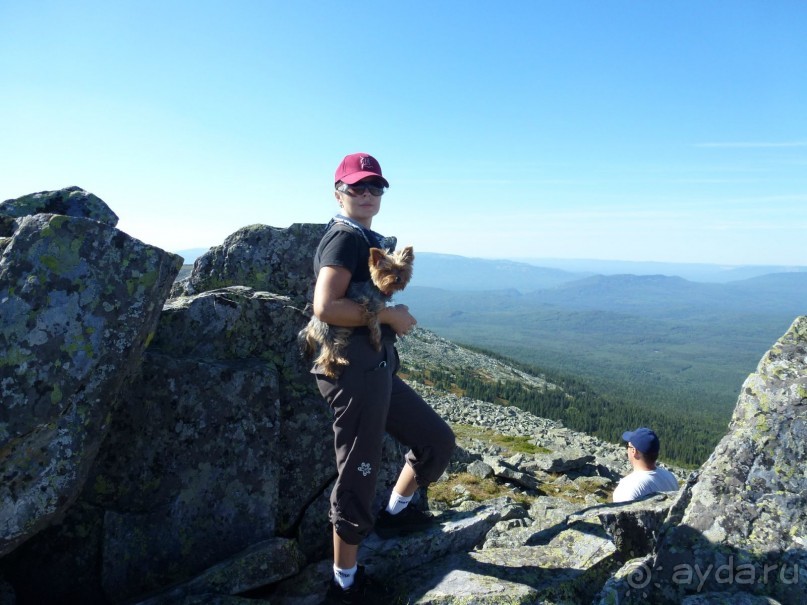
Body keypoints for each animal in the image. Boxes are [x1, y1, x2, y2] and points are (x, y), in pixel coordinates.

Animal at [304, 243, 416, 376]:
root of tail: (311, 323)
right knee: (328, 353)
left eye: (401, 269)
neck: (378, 289)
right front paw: (377, 343)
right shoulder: (371, 309)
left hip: (342, 331)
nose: (398, 278)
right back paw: (333, 368)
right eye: (387, 270)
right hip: (329, 330)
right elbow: (376, 327)